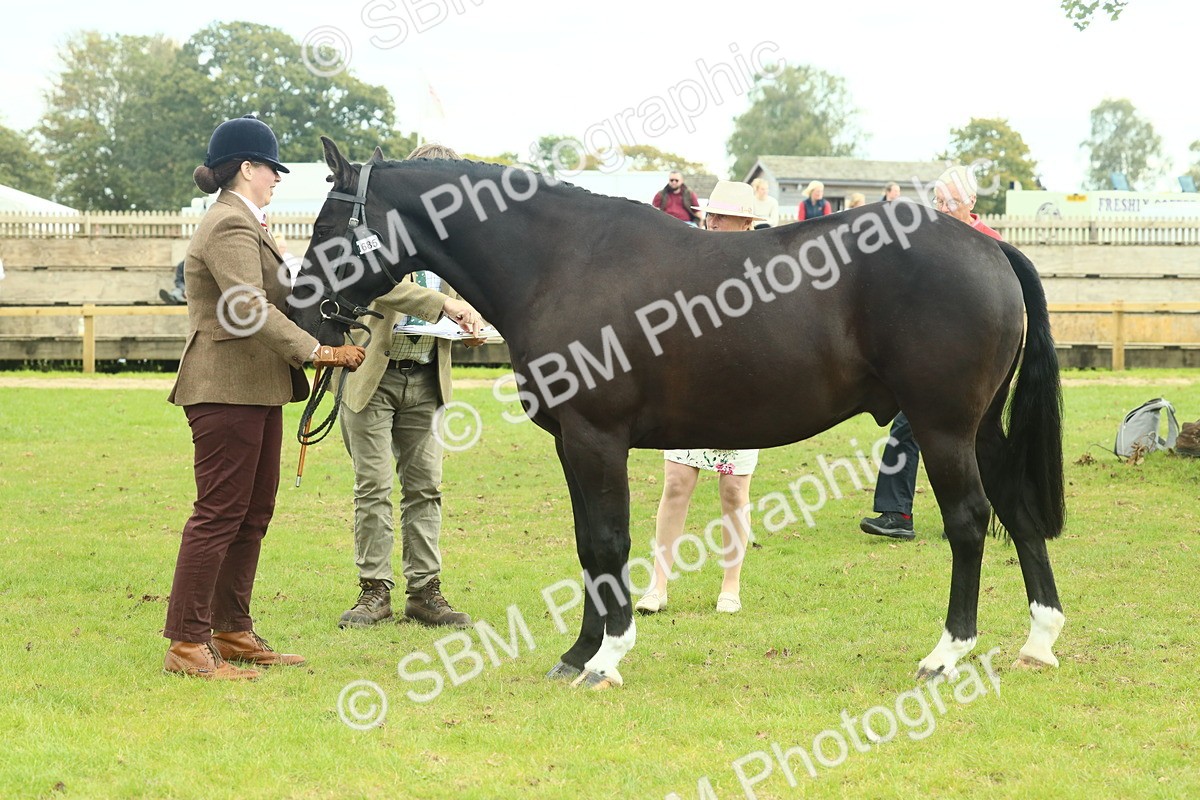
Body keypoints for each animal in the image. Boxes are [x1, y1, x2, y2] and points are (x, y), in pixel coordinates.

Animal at [287, 137, 1066, 689]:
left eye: (329, 225)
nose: (299, 311)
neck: (562, 262)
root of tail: (989, 246)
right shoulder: (573, 445)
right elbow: (588, 545)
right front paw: (579, 653)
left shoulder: (596, 439)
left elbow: (607, 542)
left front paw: (607, 659)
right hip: (981, 430)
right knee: (1019, 513)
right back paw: (1038, 641)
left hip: (942, 429)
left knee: (969, 524)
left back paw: (946, 654)